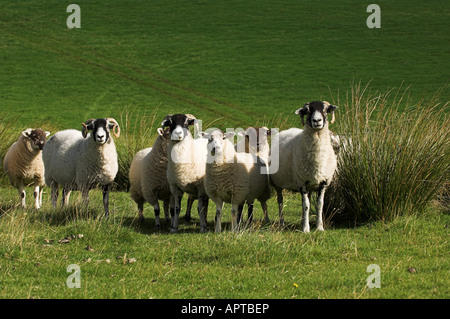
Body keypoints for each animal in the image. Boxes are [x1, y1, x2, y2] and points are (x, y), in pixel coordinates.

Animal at [270, 101, 338, 234]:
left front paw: (319, 227)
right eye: (307, 111)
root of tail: (286, 130)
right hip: (278, 182)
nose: (317, 120)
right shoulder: (301, 182)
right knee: (280, 201)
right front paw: (306, 229)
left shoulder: (323, 182)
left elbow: (319, 205)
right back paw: (282, 222)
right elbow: (306, 206)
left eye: (325, 109)